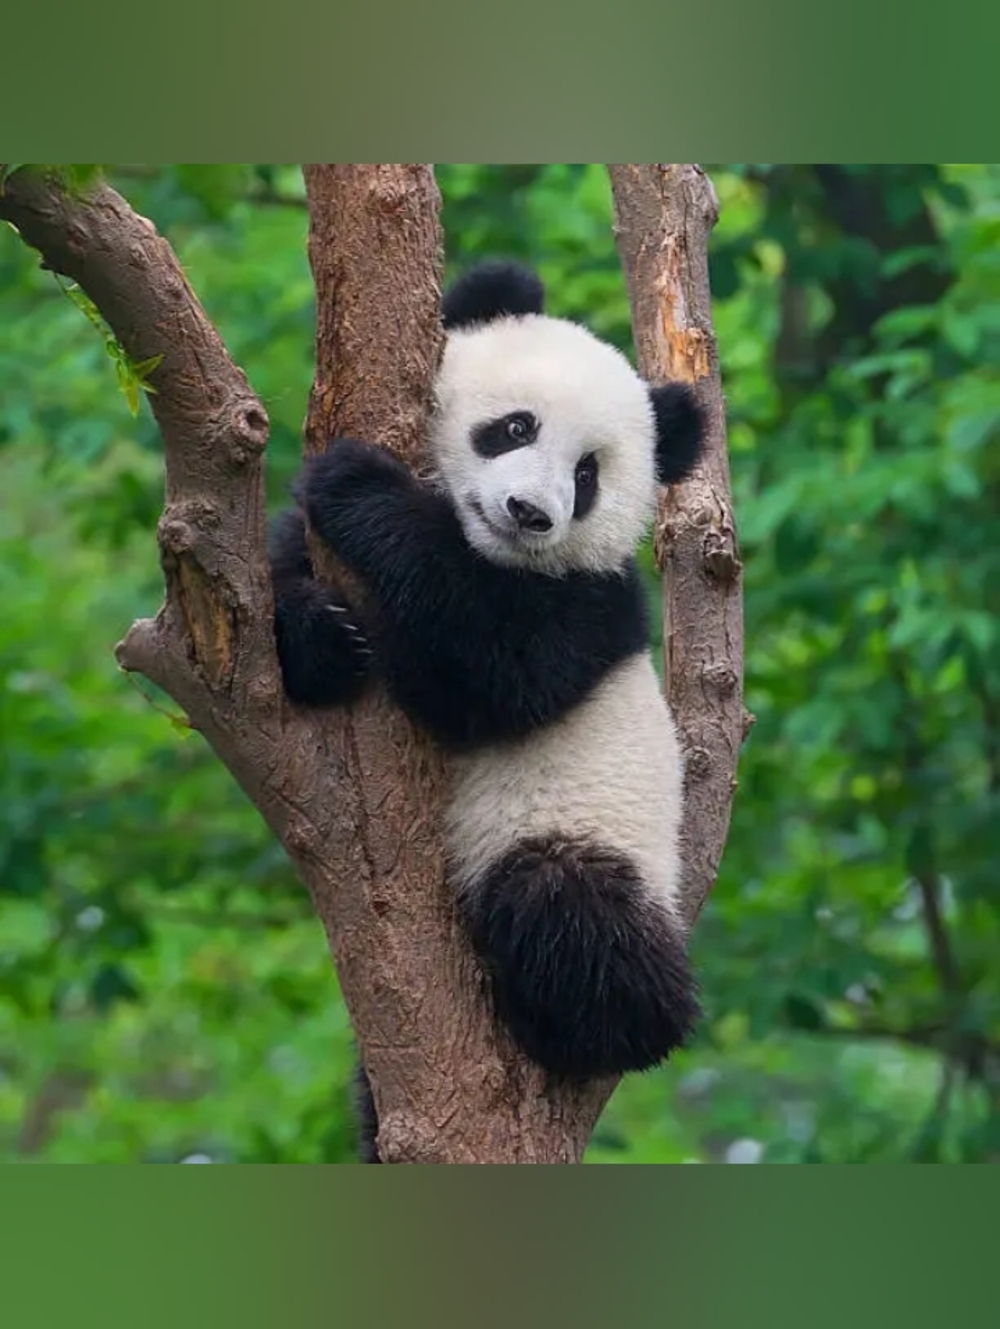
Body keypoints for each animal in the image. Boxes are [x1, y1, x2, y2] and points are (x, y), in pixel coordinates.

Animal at [270, 260, 706, 1158]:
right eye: (513, 427)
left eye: (587, 475)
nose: (530, 514)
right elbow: (284, 581)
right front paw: (323, 637)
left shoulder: (592, 605)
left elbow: (488, 674)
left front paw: (358, 486)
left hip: (587, 833)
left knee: (568, 909)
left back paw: (594, 1025)